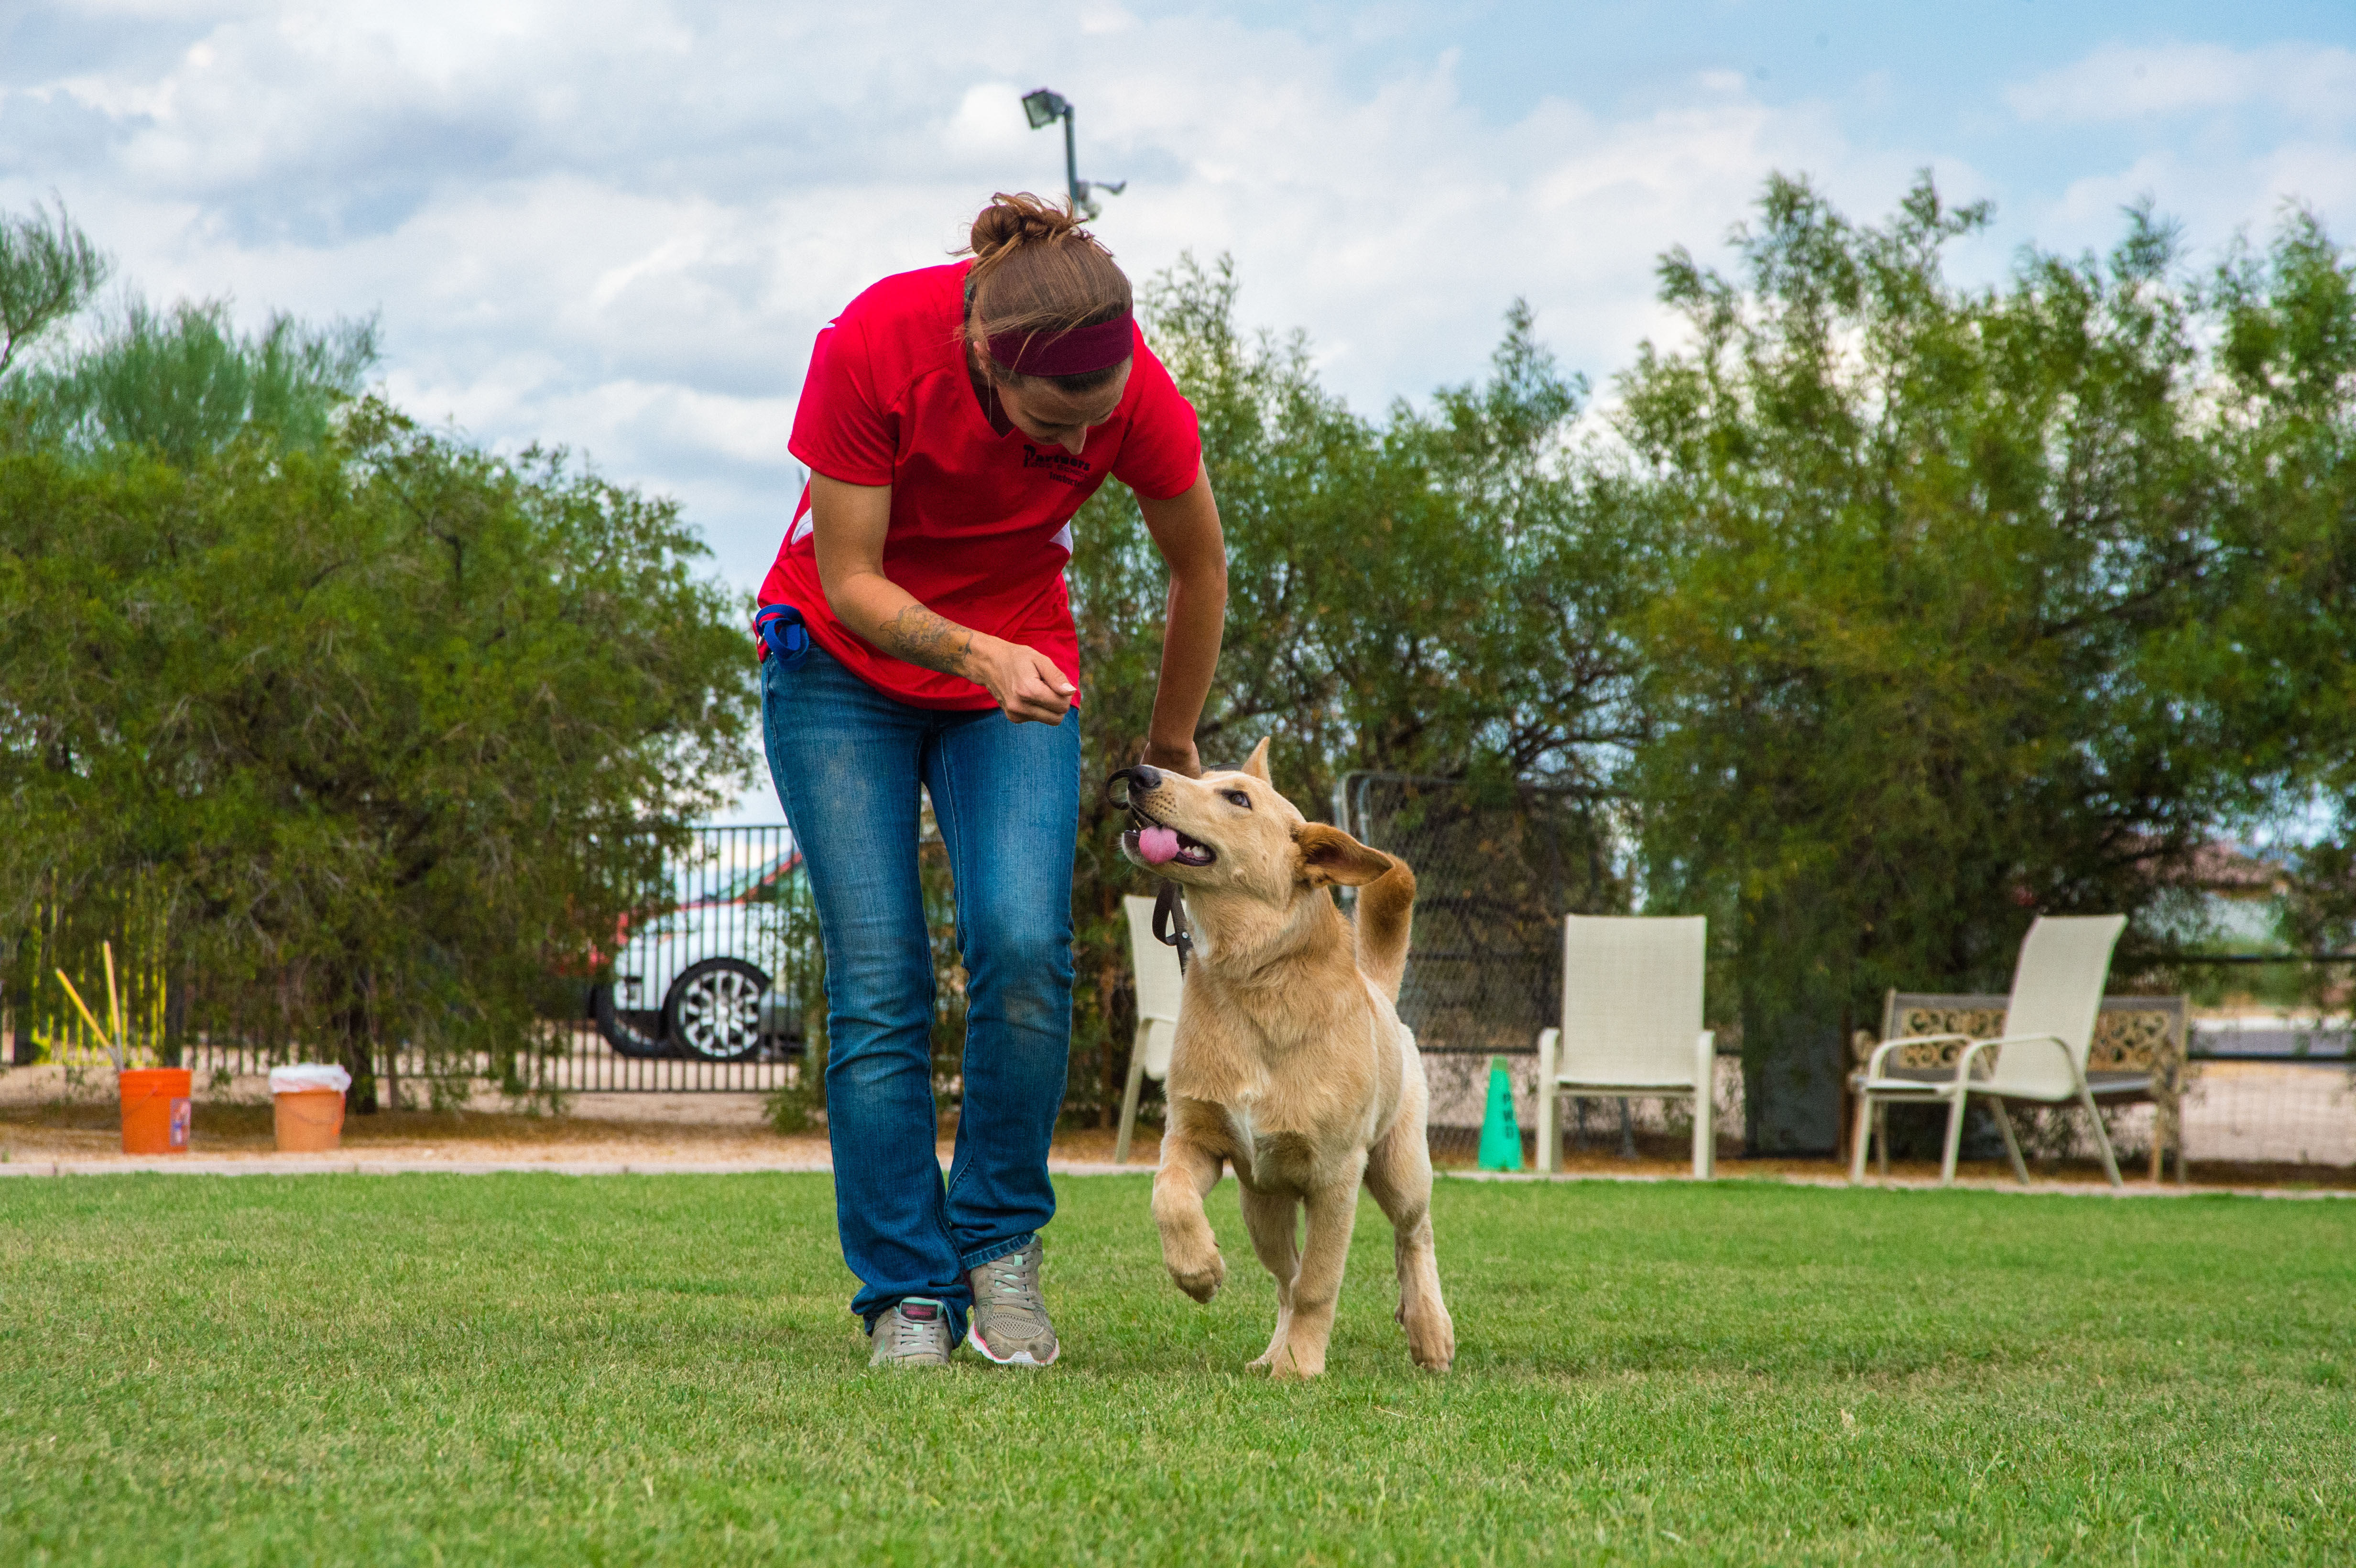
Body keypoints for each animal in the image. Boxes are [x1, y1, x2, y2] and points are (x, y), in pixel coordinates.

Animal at [1107, 739, 1451, 1375]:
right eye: (1200, 775)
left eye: (1237, 798)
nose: (1138, 774)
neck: (1254, 982)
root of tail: (1379, 991)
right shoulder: (1195, 1139)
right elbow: (1168, 1195)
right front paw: (1198, 1269)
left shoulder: (1336, 1179)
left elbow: (1320, 1282)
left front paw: (1299, 1366)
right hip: (1261, 1204)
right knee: (1284, 1279)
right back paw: (1269, 1352)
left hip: (1400, 1169)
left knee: (1413, 1236)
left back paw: (1428, 1329)